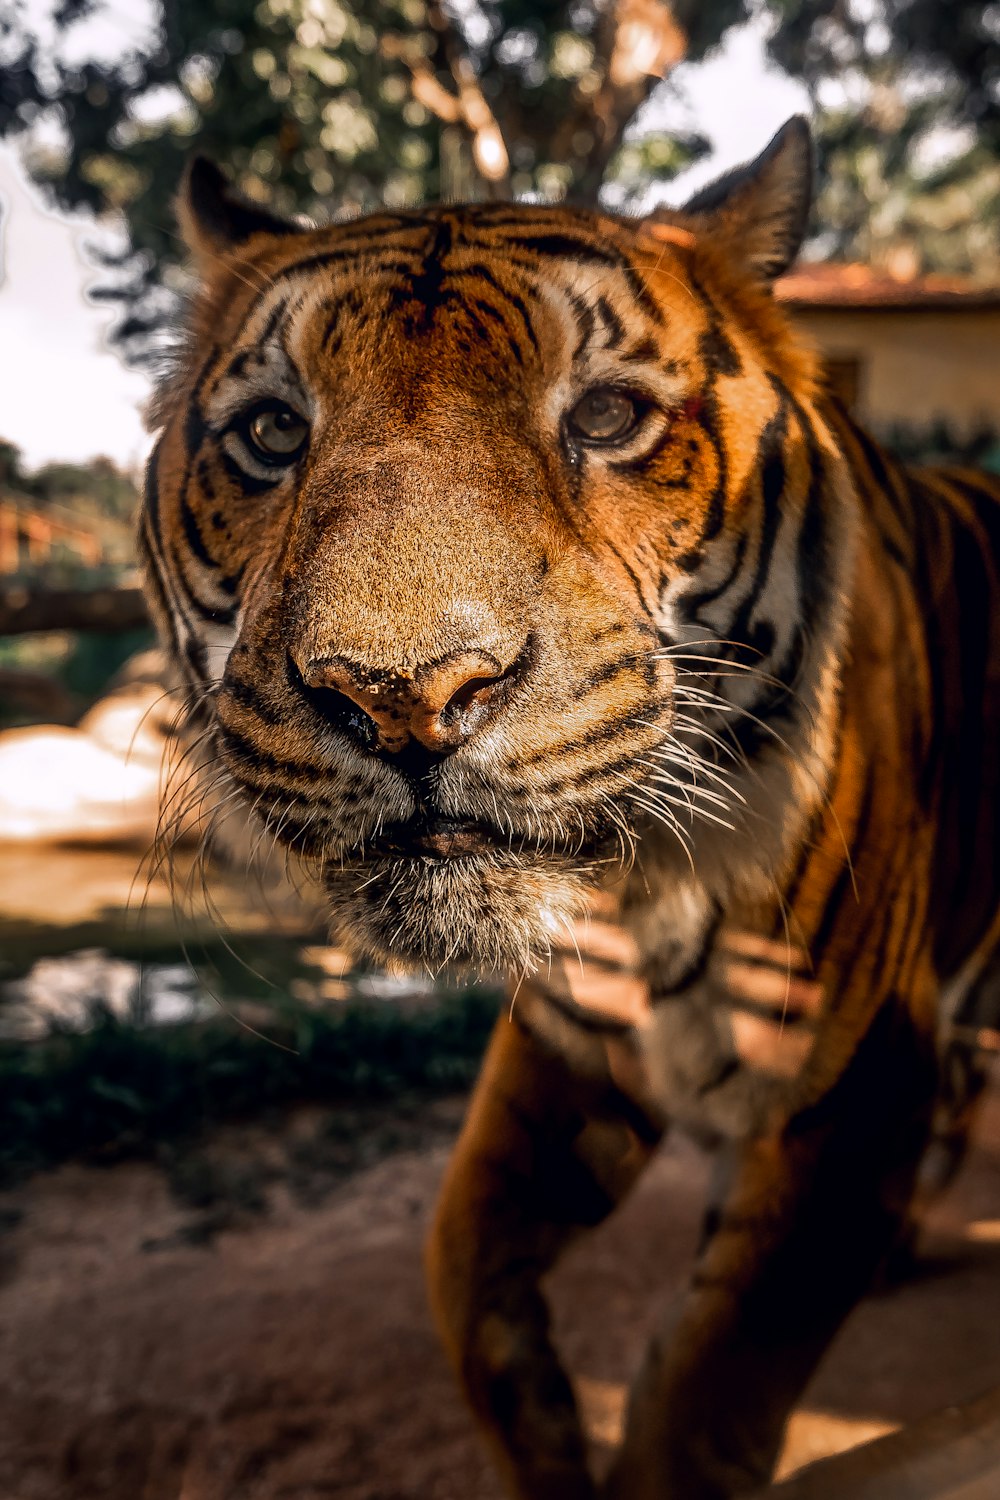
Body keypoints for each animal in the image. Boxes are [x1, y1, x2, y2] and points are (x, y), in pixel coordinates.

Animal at [138, 120, 1000, 1500]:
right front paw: (543, 1444)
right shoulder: (558, 1050)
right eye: (273, 430)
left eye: (606, 416)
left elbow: (707, 1389)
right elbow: (455, 1263)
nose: (403, 699)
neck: (633, 904)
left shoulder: (847, 1084)